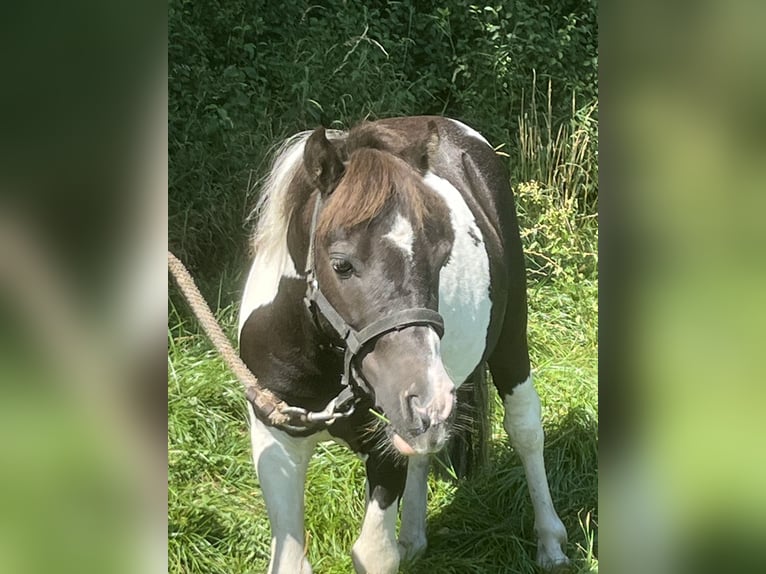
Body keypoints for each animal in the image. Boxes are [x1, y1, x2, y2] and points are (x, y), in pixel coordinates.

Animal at [240, 117, 568, 574]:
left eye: (443, 255)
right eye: (341, 264)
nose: (426, 397)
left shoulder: (385, 447)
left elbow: (375, 554)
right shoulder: (276, 439)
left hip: (509, 341)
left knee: (525, 429)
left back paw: (551, 543)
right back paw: (414, 537)